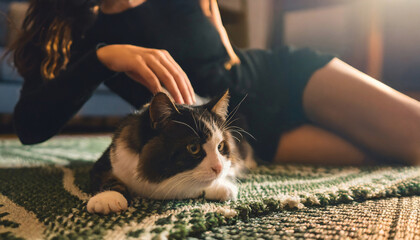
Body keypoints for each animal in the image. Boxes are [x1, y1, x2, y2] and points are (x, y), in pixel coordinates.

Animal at [86, 90, 254, 214]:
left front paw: (221, 186)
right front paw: (108, 198)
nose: (218, 168)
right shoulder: (109, 158)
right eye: (194, 148)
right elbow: (108, 178)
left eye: (220, 146)